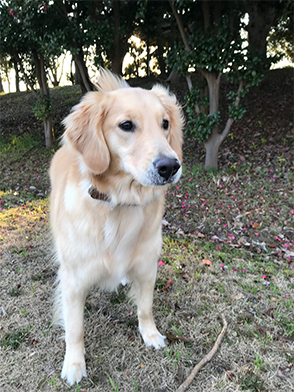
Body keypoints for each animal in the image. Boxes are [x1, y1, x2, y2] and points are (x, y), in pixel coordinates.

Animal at [50, 69, 184, 384]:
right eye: (126, 125)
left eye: (165, 124)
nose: (170, 166)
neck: (121, 204)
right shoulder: (73, 281)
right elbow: (75, 328)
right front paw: (74, 364)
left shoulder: (147, 267)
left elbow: (145, 307)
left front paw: (151, 335)